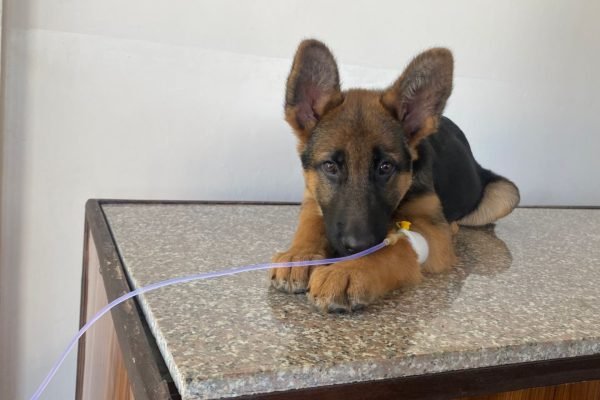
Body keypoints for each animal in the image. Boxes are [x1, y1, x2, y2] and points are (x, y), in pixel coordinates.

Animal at [272, 39, 520, 312]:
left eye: (385, 167)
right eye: (330, 167)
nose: (357, 246)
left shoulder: (433, 231)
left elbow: (394, 250)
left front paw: (350, 269)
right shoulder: (312, 197)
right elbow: (312, 223)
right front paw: (300, 255)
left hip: (506, 195)